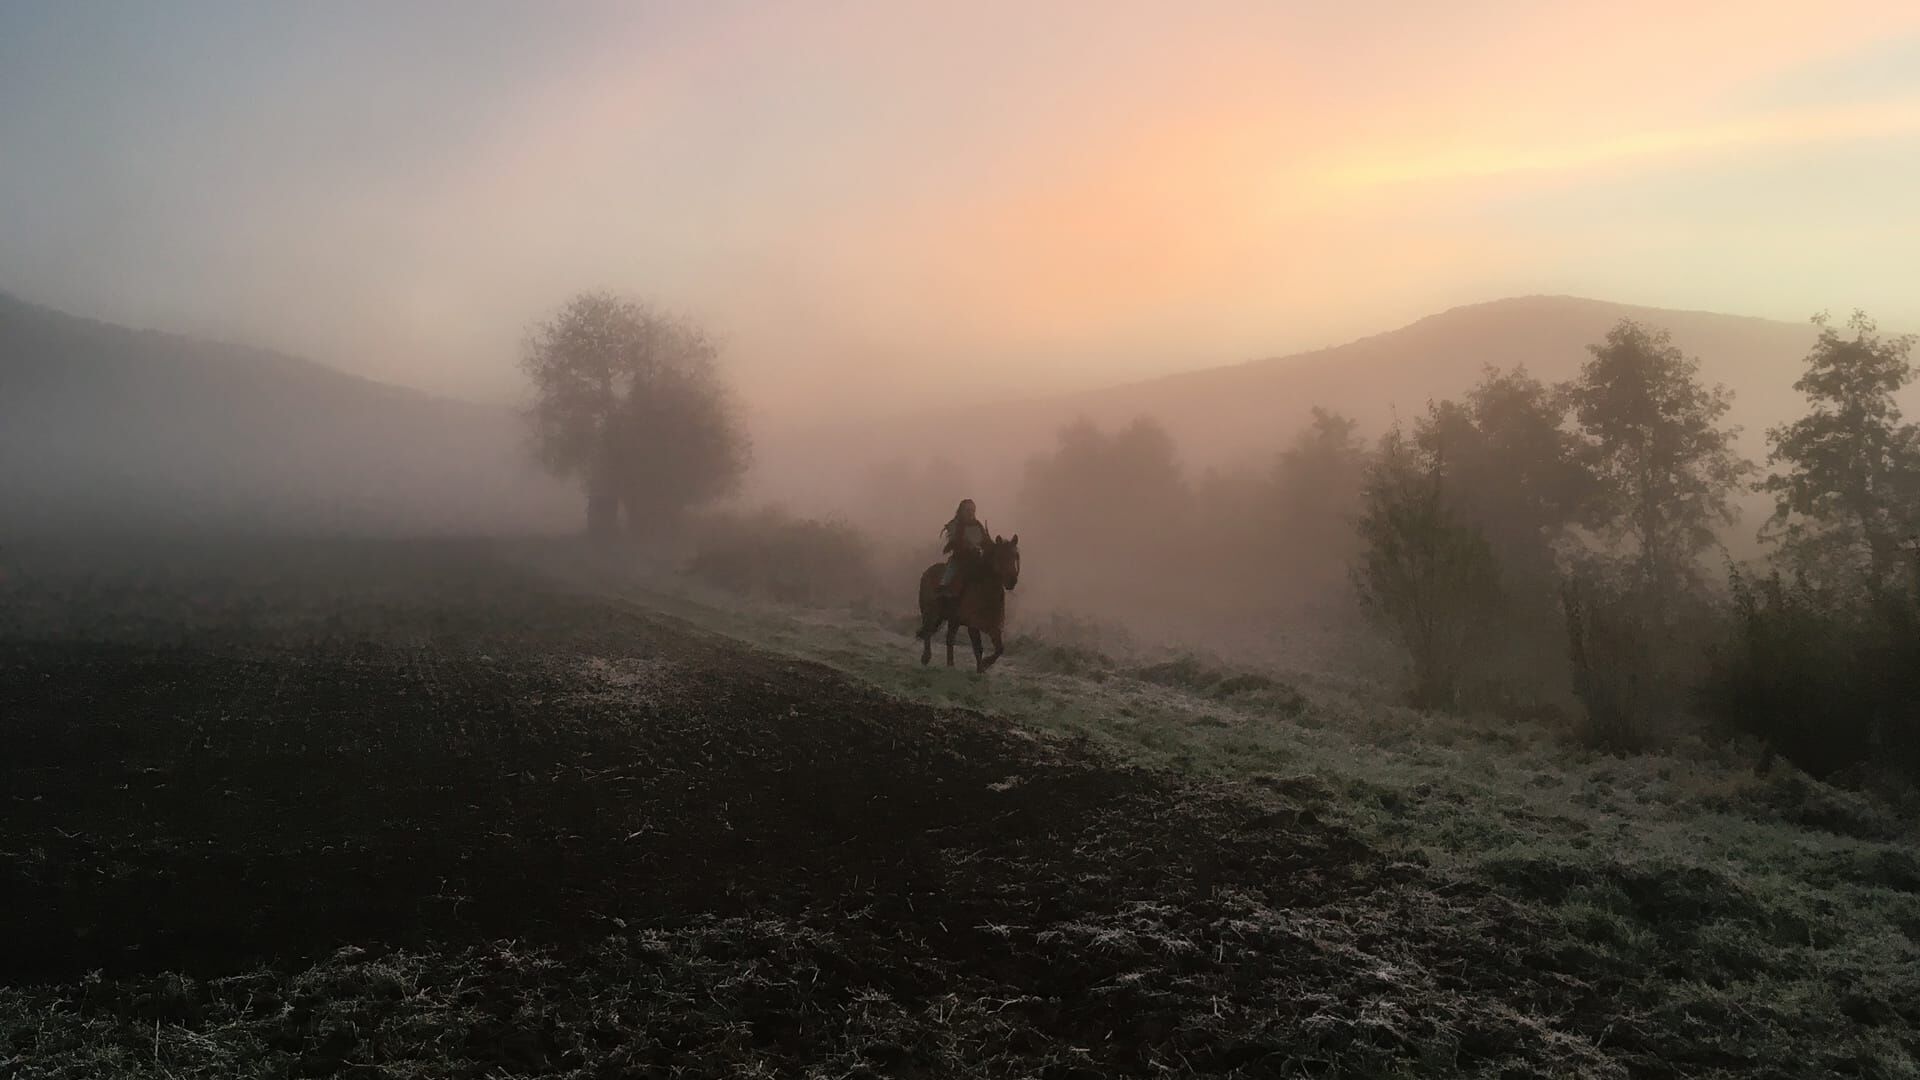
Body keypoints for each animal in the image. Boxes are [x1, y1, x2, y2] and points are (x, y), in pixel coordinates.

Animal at [913, 530, 1021, 668]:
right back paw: (926, 658)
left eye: (1015, 556)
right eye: (1000, 557)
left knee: (949, 638)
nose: (1012, 581)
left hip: (953, 620)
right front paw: (982, 666)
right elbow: (978, 647)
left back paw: (950, 665)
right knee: (928, 631)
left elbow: (999, 648)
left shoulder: (992, 626)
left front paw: (984, 665)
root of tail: (926, 572)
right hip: (931, 612)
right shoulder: (973, 625)